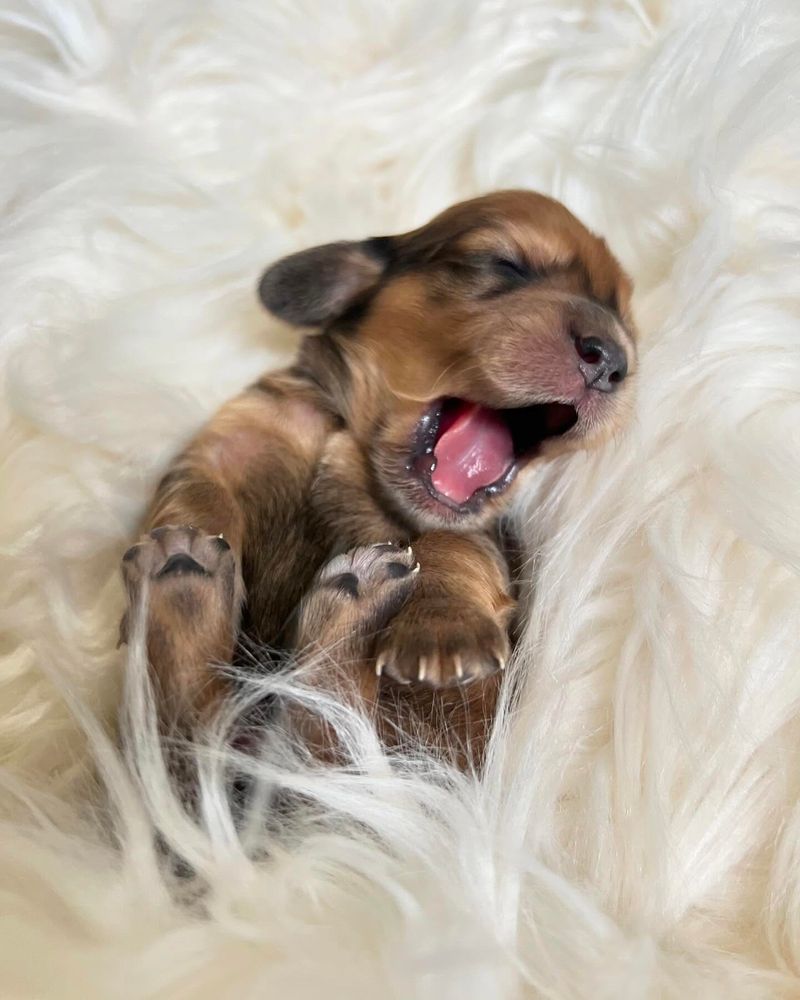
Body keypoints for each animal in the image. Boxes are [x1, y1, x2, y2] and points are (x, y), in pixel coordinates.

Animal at [119, 189, 636, 764]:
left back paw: (346, 600)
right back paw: (182, 581)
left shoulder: (481, 534)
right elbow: (198, 492)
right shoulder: (230, 441)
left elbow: (449, 546)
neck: (351, 439)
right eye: (506, 264)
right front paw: (180, 545)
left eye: (625, 320)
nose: (612, 361)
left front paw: (442, 628)